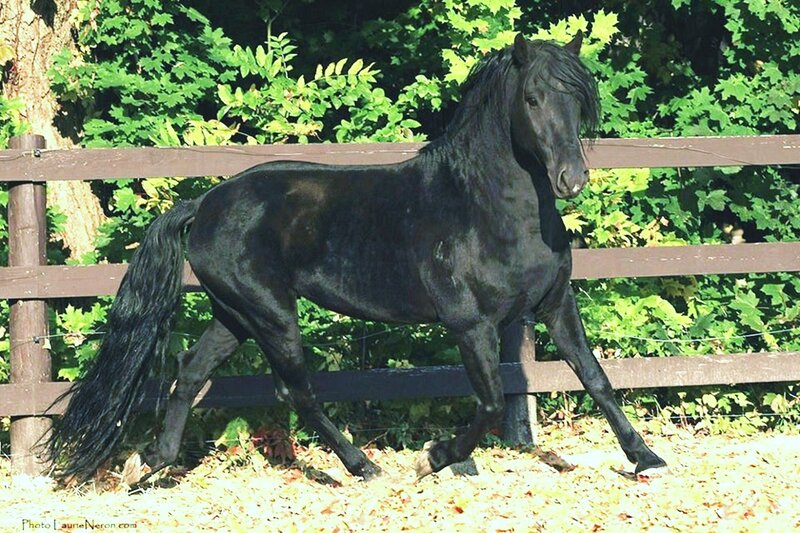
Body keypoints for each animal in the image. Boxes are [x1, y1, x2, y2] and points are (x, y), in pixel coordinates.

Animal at [46, 32, 667, 484]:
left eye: (578, 101)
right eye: (533, 99)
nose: (572, 179)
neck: (487, 207)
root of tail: (204, 204)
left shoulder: (556, 306)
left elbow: (596, 378)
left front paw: (647, 459)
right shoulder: (470, 325)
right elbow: (492, 404)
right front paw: (433, 458)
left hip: (235, 315)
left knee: (191, 371)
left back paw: (151, 463)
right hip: (271, 314)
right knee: (295, 391)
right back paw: (362, 466)